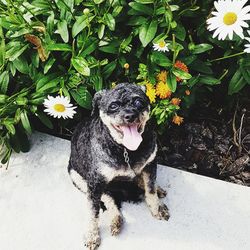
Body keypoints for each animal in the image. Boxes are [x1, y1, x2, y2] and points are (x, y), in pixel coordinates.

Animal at [68, 83, 170, 249]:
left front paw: (157, 208)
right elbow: (93, 212)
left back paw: (157, 189)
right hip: (77, 178)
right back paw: (116, 219)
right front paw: (92, 235)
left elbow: (150, 191)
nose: (130, 116)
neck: (126, 150)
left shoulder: (150, 164)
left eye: (138, 102)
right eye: (113, 105)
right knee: (109, 199)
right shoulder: (95, 183)